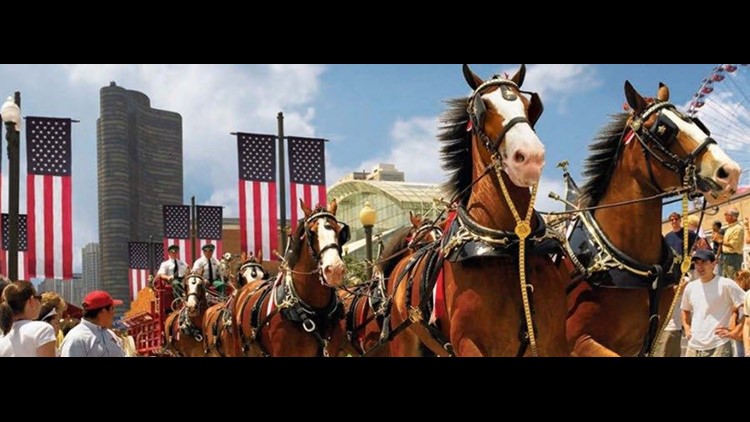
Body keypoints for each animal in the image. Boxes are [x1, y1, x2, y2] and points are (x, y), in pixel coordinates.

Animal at [388, 64, 568, 358]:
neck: (510, 245)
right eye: (482, 108)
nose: (530, 156)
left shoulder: (555, 341)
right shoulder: (468, 343)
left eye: (529, 105)